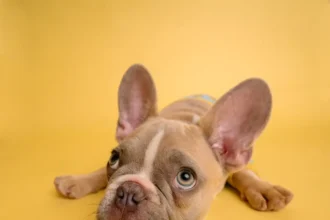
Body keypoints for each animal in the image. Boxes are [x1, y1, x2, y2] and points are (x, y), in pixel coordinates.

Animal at [54, 63, 294, 220]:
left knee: (241, 172)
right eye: (114, 158)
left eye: (185, 178)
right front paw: (78, 181)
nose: (128, 191)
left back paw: (263, 189)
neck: (183, 118)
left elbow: (241, 174)